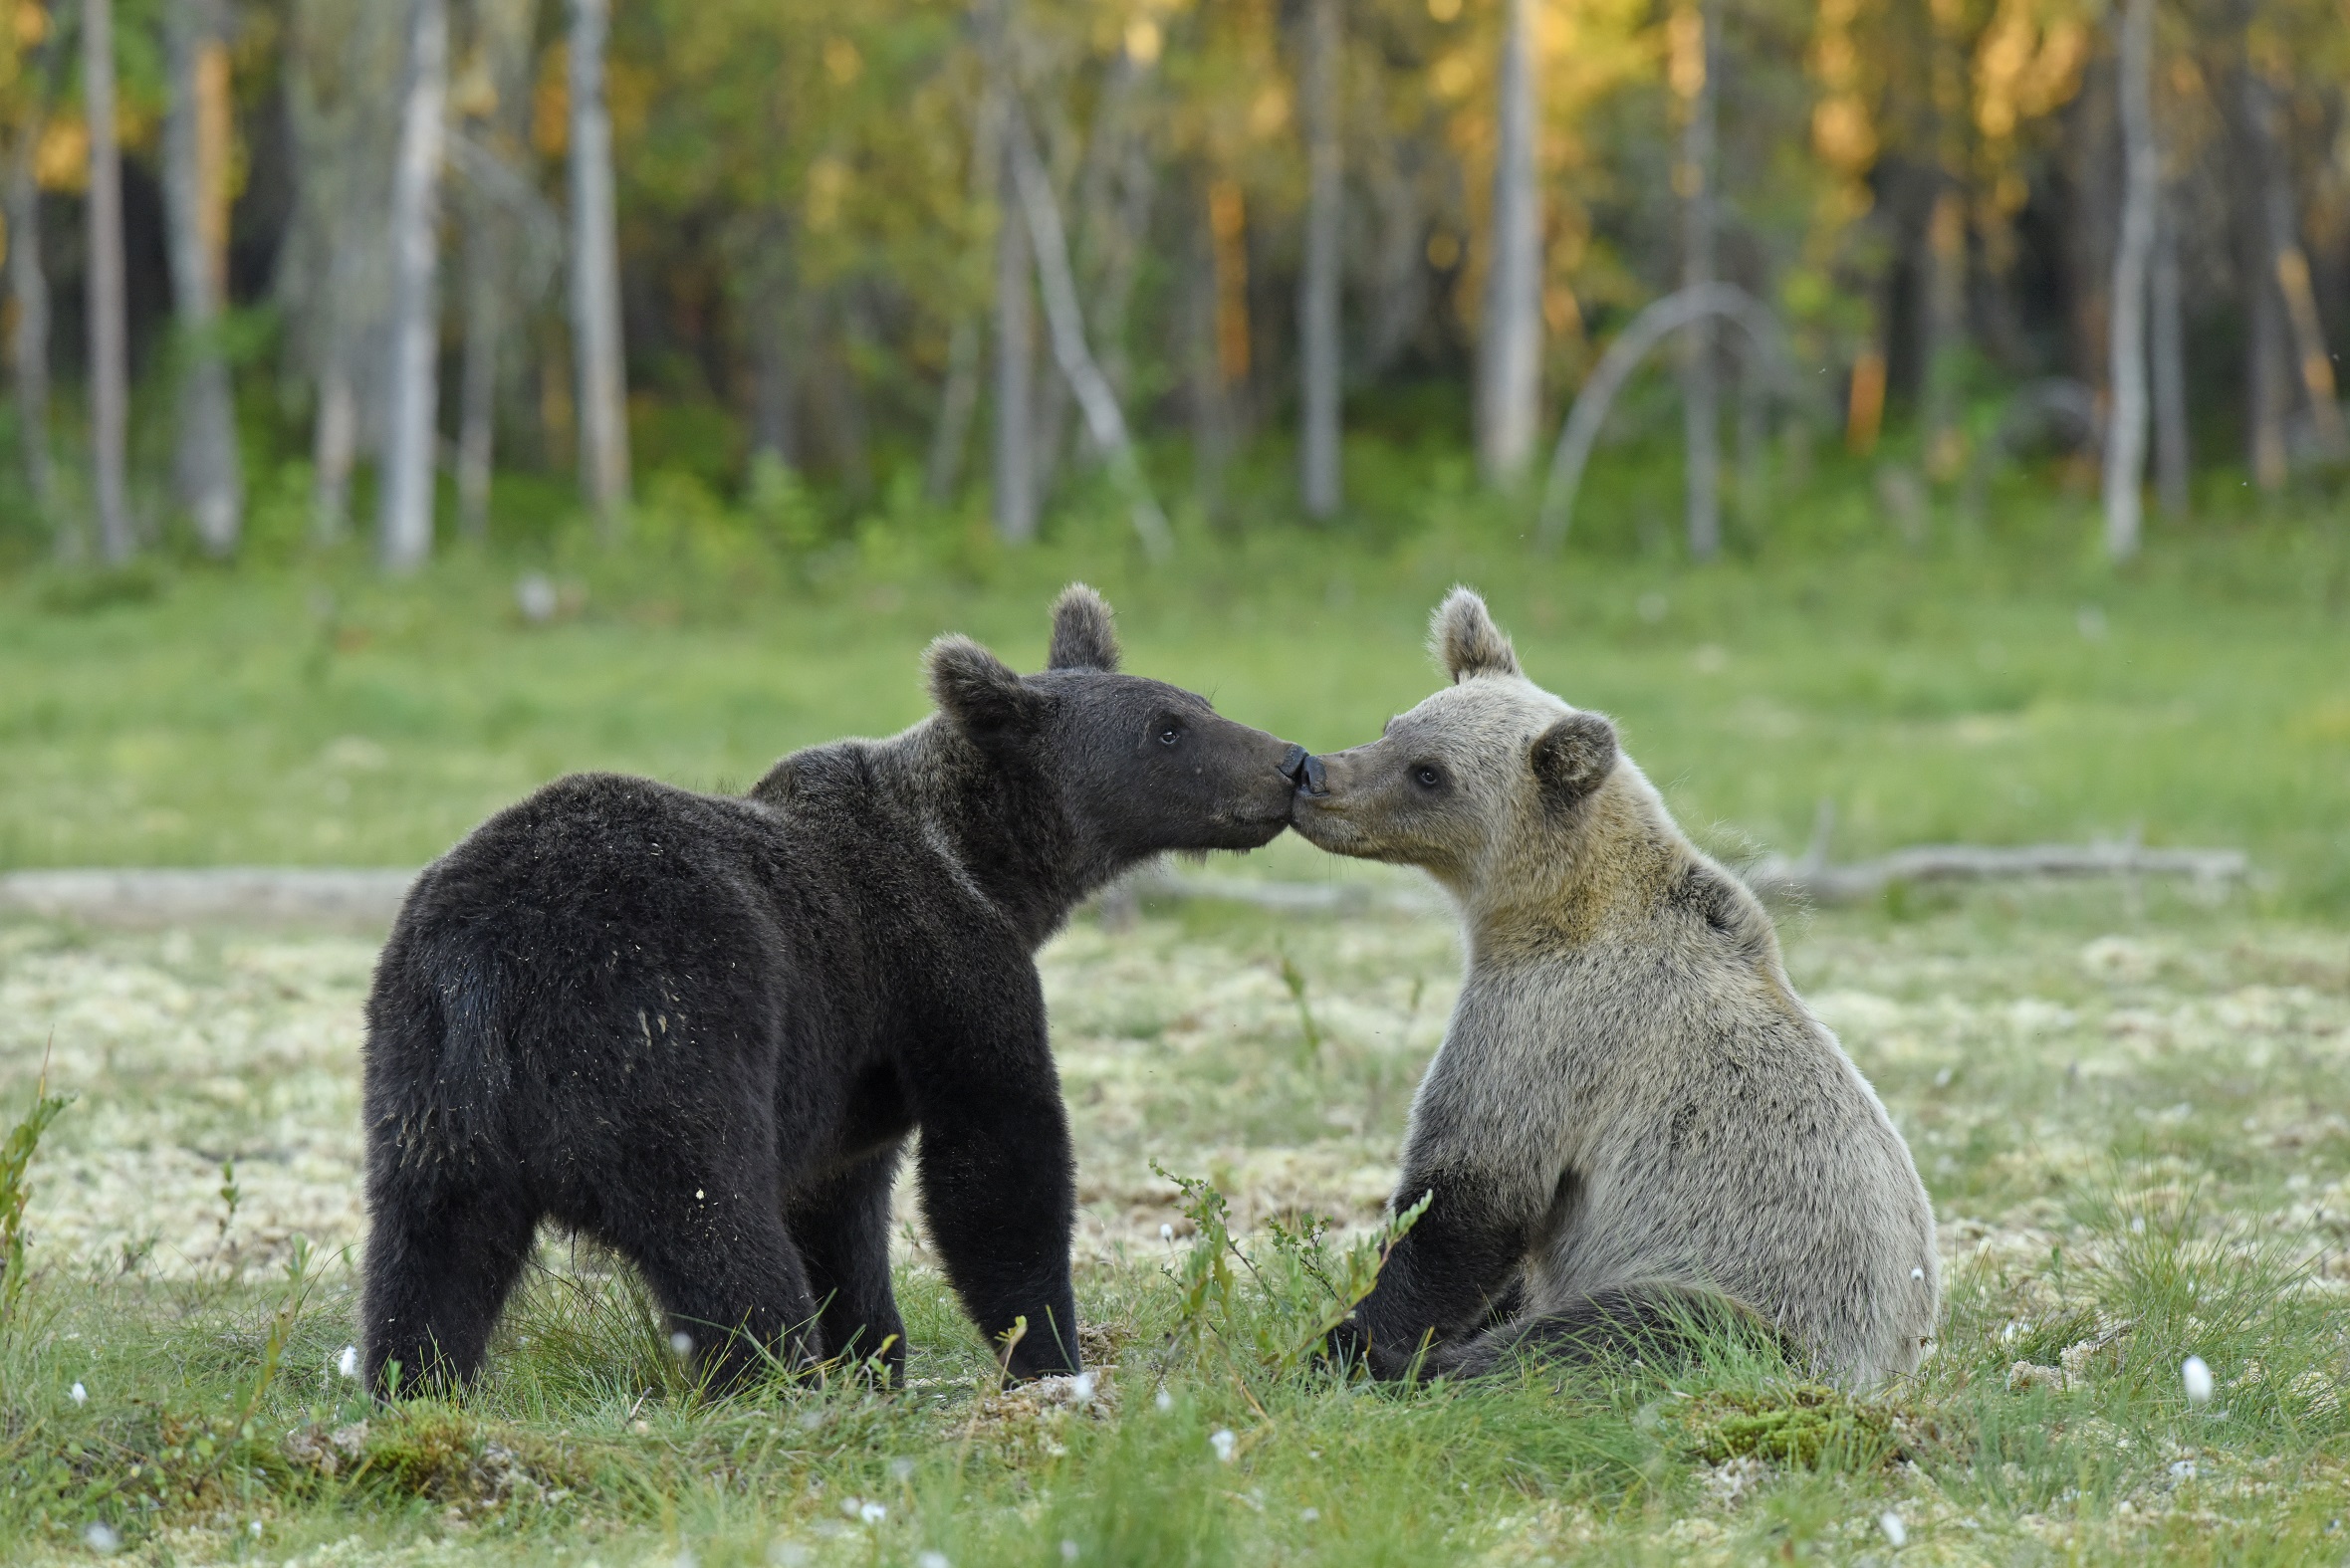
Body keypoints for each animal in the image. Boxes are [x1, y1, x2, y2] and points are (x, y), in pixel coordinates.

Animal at [360, 585, 1308, 1395]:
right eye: (1167, 729)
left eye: (1199, 702)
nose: (1291, 761)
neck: (992, 867)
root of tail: (488, 962)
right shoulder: (944, 970)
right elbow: (997, 1154)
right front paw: (1048, 1355)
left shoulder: (846, 1080)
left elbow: (842, 1211)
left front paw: (874, 1353)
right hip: (655, 1029)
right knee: (719, 1229)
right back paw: (773, 1377)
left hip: (425, 1080)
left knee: (430, 1251)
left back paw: (414, 1380)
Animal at [1293, 588, 1938, 1388]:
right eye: (1393, 726)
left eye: (1429, 772)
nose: (1314, 775)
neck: (1548, 912)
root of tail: (1891, 1374)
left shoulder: (1551, 1023)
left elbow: (1467, 1198)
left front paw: (1349, 1343)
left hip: (1759, 1319)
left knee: (1629, 1327)